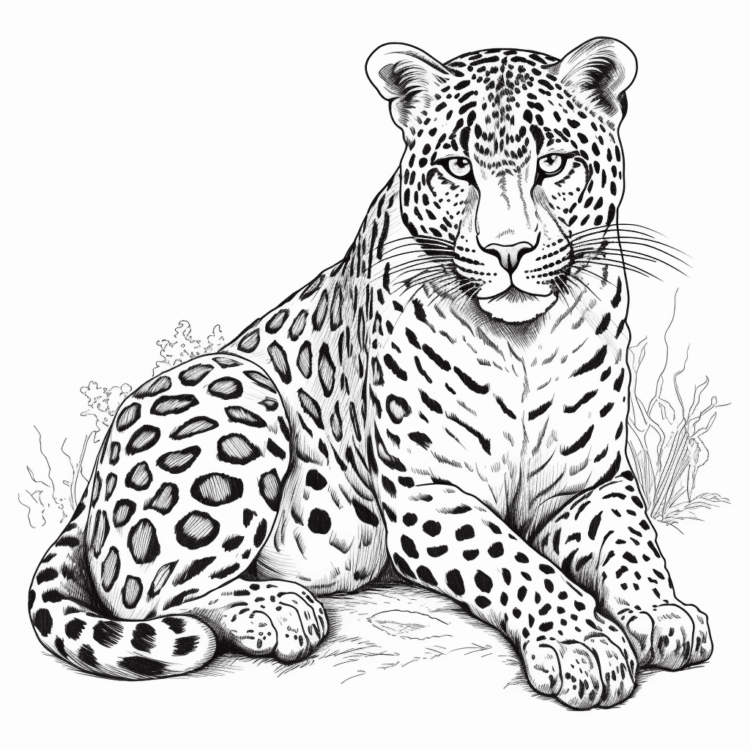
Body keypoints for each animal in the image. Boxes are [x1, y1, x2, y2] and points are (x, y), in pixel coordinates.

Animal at [28, 37, 712, 709]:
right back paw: (278, 610)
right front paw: (580, 643)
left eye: (554, 163)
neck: (521, 342)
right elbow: (515, 564)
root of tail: (90, 490)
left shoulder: (588, 484)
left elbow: (631, 544)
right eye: (457, 168)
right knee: (140, 593)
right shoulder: (425, 492)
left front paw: (662, 613)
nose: (508, 250)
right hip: (238, 391)